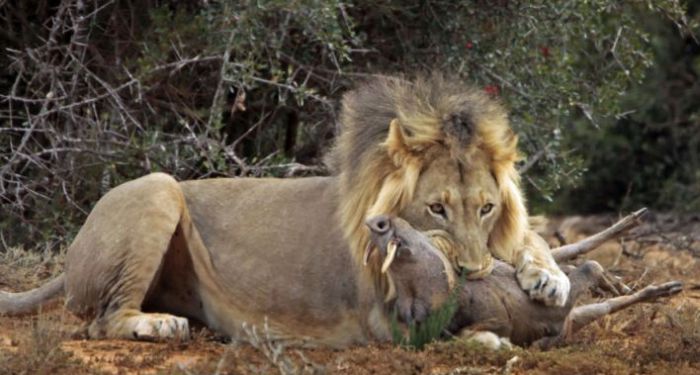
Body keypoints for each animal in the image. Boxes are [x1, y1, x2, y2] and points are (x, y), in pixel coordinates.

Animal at [0, 75, 568, 348]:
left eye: (487, 208)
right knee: (102, 321)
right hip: (159, 188)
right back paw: (157, 325)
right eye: (436, 209)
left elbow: (531, 238)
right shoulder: (382, 316)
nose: (473, 272)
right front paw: (490, 336)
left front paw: (549, 277)